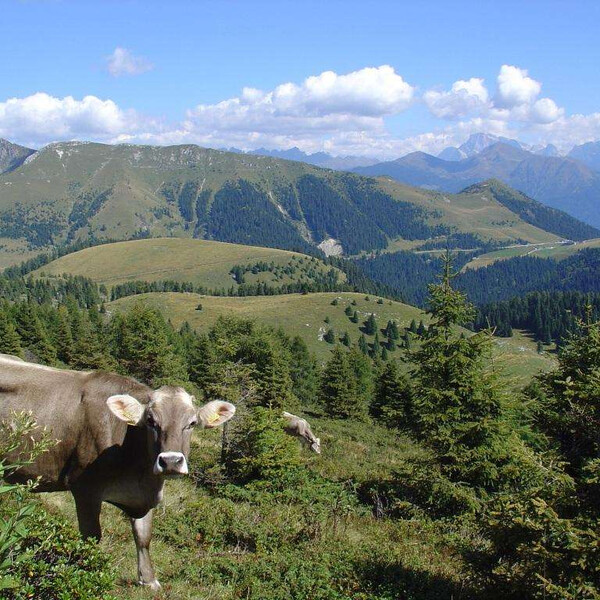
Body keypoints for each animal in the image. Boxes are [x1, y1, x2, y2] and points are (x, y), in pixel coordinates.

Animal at [0, 356, 234, 592]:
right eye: (151, 421)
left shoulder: (144, 497)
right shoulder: (85, 489)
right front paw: (87, 574)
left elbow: (143, 537)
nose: (170, 461)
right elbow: (91, 537)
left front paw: (149, 580)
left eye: (192, 423)